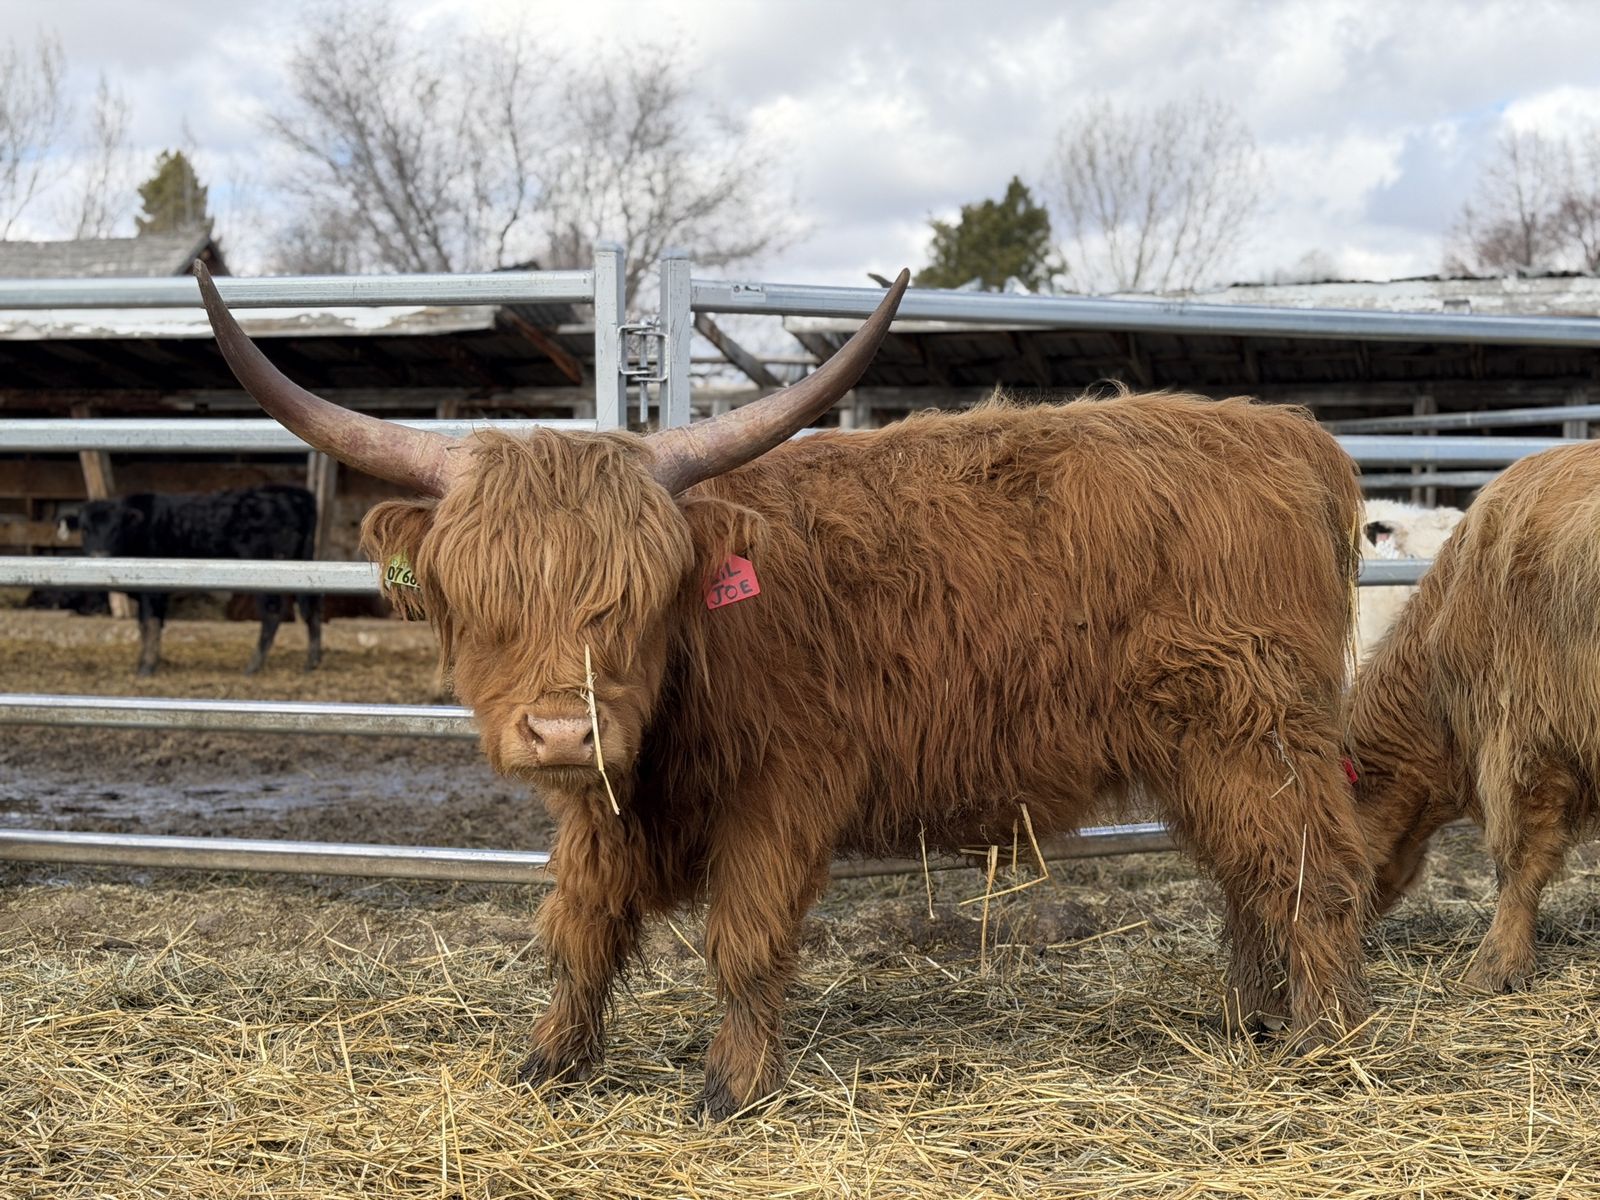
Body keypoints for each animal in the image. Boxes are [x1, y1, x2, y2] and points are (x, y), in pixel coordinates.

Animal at [67, 486, 324, 676]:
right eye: (85, 529)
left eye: (115, 529)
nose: (99, 555)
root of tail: (298, 494)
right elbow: (147, 626)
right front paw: (150, 661)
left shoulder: (152, 592)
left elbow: (150, 624)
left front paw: (147, 666)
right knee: (310, 606)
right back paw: (312, 661)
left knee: (272, 613)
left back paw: (253, 666)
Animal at [194, 261, 1373, 1118]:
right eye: (480, 599)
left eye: (637, 598)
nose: (564, 731)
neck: (685, 690)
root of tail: (1290, 435)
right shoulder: (608, 811)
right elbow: (579, 931)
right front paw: (550, 1064)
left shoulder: (783, 793)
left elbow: (745, 940)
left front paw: (732, 1087)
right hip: (1203, 754)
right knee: (1245, 877)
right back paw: (1251, 1017)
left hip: (1260, 730)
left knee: (1311, 870)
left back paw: (1323, 1040)